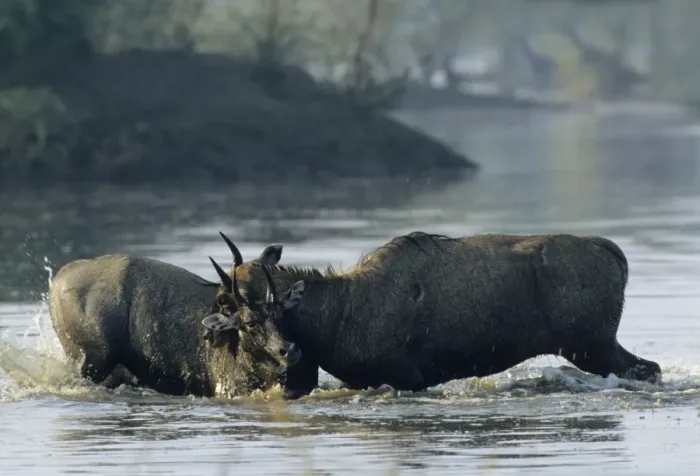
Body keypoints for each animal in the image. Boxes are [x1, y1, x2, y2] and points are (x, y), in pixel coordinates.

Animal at [208, 231, 662, 393]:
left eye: (225, 301)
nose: (207, 331)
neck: (334, 315)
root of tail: (617, 256)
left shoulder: (407, 377)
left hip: (592, 344)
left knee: (649, 368)